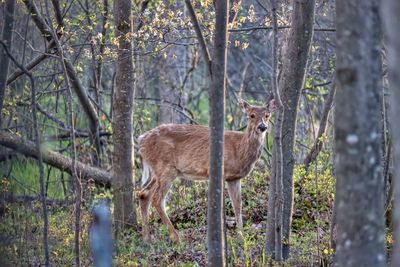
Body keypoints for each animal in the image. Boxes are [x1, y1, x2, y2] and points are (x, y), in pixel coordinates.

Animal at [138, 98, 278, 243]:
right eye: (251, 115)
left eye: (267, 115)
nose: (262, 127)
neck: (240, 149)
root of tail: (141, 140)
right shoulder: (221, 173)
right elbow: (221, 206)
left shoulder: (234, 178)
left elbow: (238, 206)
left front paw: (241, 239)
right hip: (165, 168)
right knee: (157, 198)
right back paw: (176, 238)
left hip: (156, 171)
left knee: (143, 194)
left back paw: (147, 239)